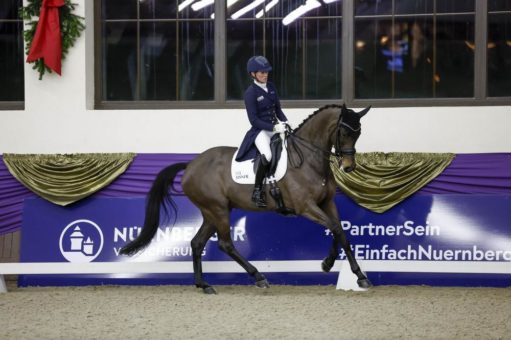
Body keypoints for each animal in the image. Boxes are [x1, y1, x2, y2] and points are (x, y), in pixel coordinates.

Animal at [120, 104, 372, 294]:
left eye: (358, 133)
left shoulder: (327, 203)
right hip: (218, 210)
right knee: (225, 244)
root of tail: (191, 164)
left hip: (211, 212)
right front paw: (332, 265)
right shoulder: (306, 207)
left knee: (197, 243)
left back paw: (203, 285)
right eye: (344, 133)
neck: (308, 159)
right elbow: (335, 229)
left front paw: (355, 274)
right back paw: (258, 277)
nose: (349, 167)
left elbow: (341, 232)